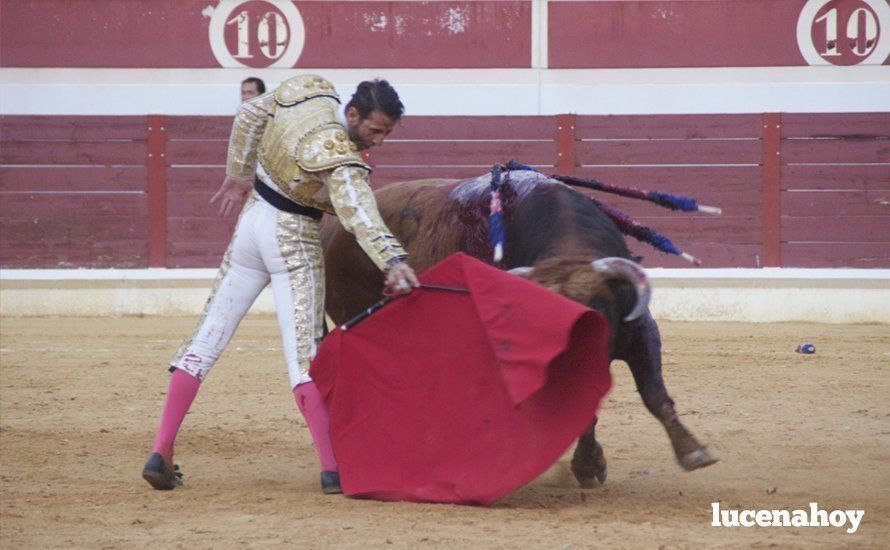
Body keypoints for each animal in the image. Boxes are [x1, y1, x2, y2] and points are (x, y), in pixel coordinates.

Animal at [320, 168, 716, 488]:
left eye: (597, 313)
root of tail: (333, 228)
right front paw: (588, 466)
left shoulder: (640, 330)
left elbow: (654, 395)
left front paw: (692, 451)